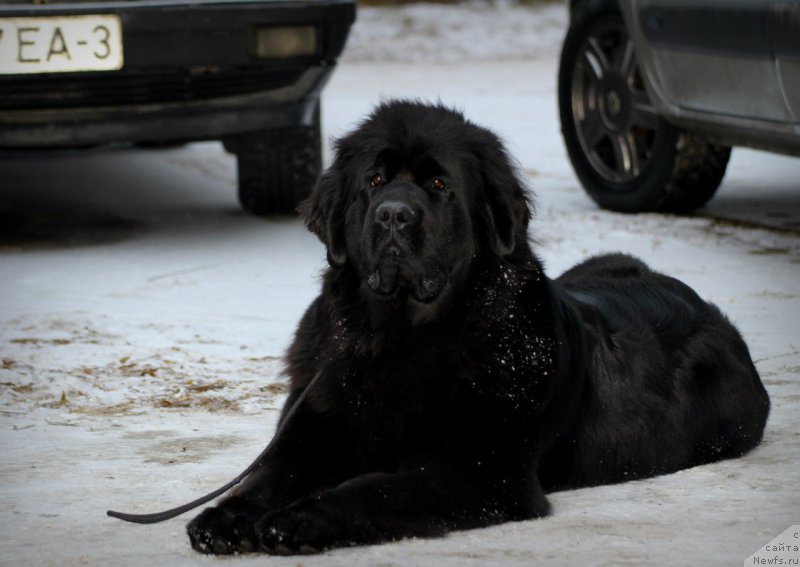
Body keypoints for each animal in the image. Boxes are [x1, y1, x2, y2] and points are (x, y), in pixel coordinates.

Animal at [186, 100, 768, 556]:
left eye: (438, 184)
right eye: (374, 181)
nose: (393, 215)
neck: (396, 338)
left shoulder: (480, 472)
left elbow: (374, 489)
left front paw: (301, 520)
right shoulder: (315, 424)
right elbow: (270, 474)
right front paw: (225, 516)